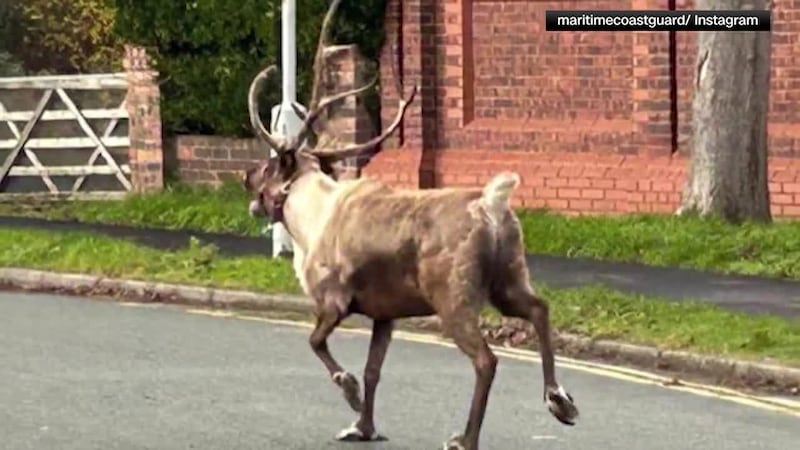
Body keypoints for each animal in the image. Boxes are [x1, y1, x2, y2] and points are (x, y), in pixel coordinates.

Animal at [242, 1, 578, 448]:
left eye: (267, 167)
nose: (245, 176)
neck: (308, 219)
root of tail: (492, 204)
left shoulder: (333, 300)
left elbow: (316, 343)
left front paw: (348, 391)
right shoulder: (385, 313)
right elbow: (374, 370)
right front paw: (363, 427)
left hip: (453, 297)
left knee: (486, 360)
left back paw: (466, 437)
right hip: (507, 279)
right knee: (540, 308)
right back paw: (559, 400)